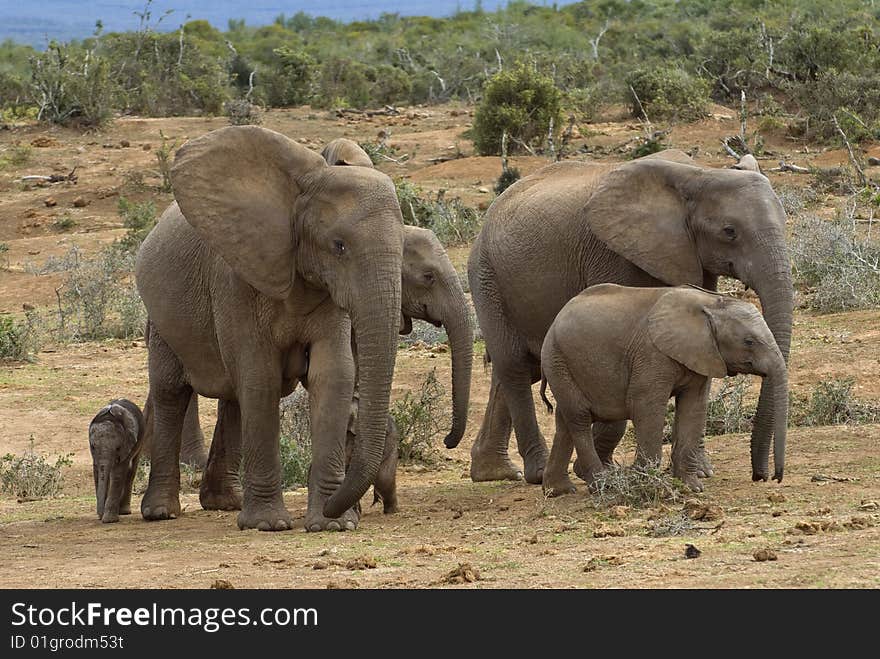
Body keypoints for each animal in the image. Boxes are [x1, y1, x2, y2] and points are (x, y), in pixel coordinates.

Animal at [137, 126, 406, 532]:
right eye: (338, 246)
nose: (348, 507)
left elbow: (334, 375)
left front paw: (330, 524)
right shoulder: (236, 278)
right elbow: (260, 378)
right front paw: (268, 525)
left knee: (233, 396)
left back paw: (225, 503)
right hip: (161, 315)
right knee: (172, 390)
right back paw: (160, 512)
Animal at [540, 284, 788, 496]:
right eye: (749, 341)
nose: (768, 477)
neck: (711, 303)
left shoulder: (701, 355)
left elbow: (693, 407)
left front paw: (691, 488)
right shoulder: (651, 354)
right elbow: (646, 407)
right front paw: (646, 485)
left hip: (561, 363)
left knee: (565, 422)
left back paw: (558, 490)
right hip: (557, 358)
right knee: (579, 418)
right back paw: (604, 486)